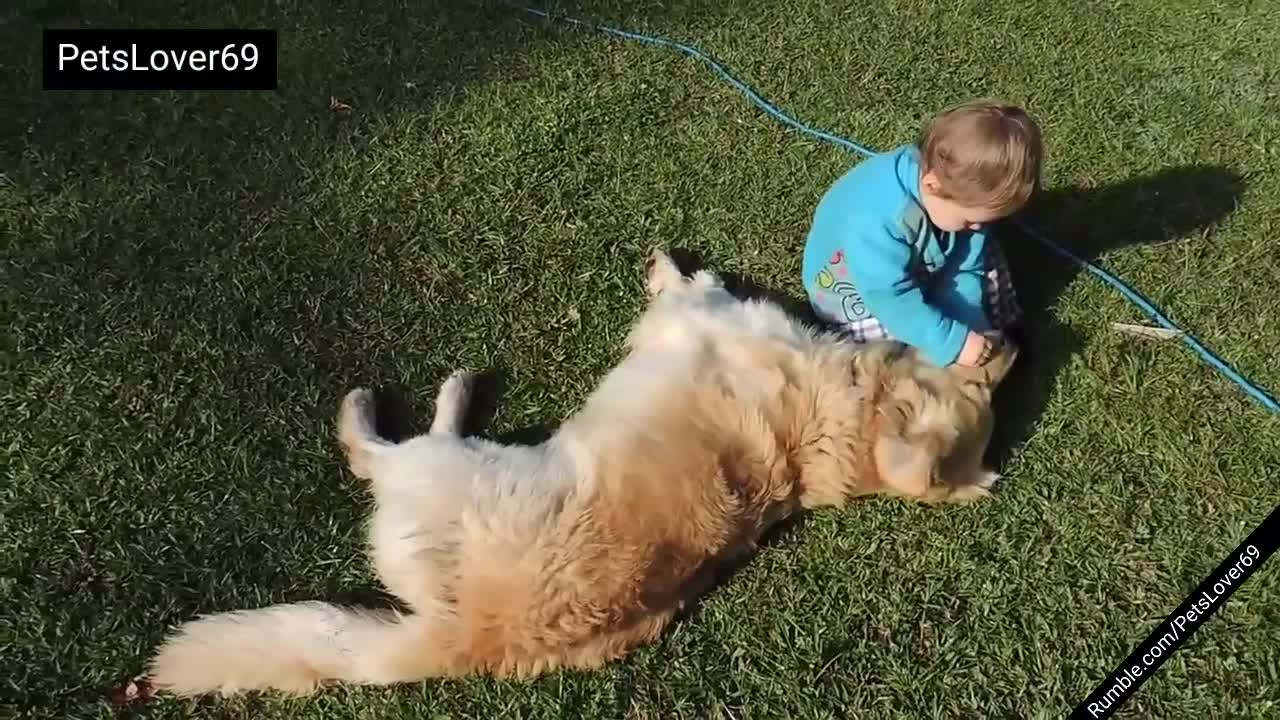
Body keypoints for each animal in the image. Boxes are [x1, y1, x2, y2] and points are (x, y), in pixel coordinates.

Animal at [142, 248, 1018, 696]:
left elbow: (690, 289)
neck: (831, 427)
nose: (1008, 343)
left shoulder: (706, 318)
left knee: (378, 450)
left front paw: (669, 264)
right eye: (981, 388)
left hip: (443, 469)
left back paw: (420, 400)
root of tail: (463, 641)